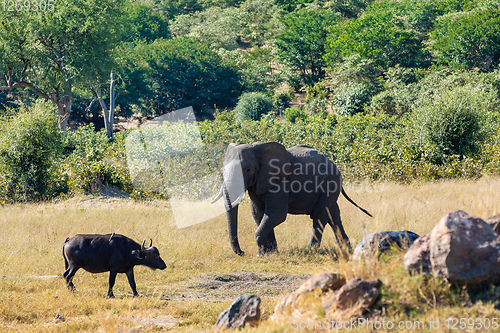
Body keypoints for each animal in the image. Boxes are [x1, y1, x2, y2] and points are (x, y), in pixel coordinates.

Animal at [211, 141, 372, 255]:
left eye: (248, 169)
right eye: (222, 170)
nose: (242, 252)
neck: (258, 149)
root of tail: (334, 164)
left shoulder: (279, 182)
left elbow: (276, 214)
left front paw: (263, 254)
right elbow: (259, 214)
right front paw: (271, 253)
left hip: (330, 182)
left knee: (320, 215)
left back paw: (310, 252)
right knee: (333, 214)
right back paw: (347, 250)